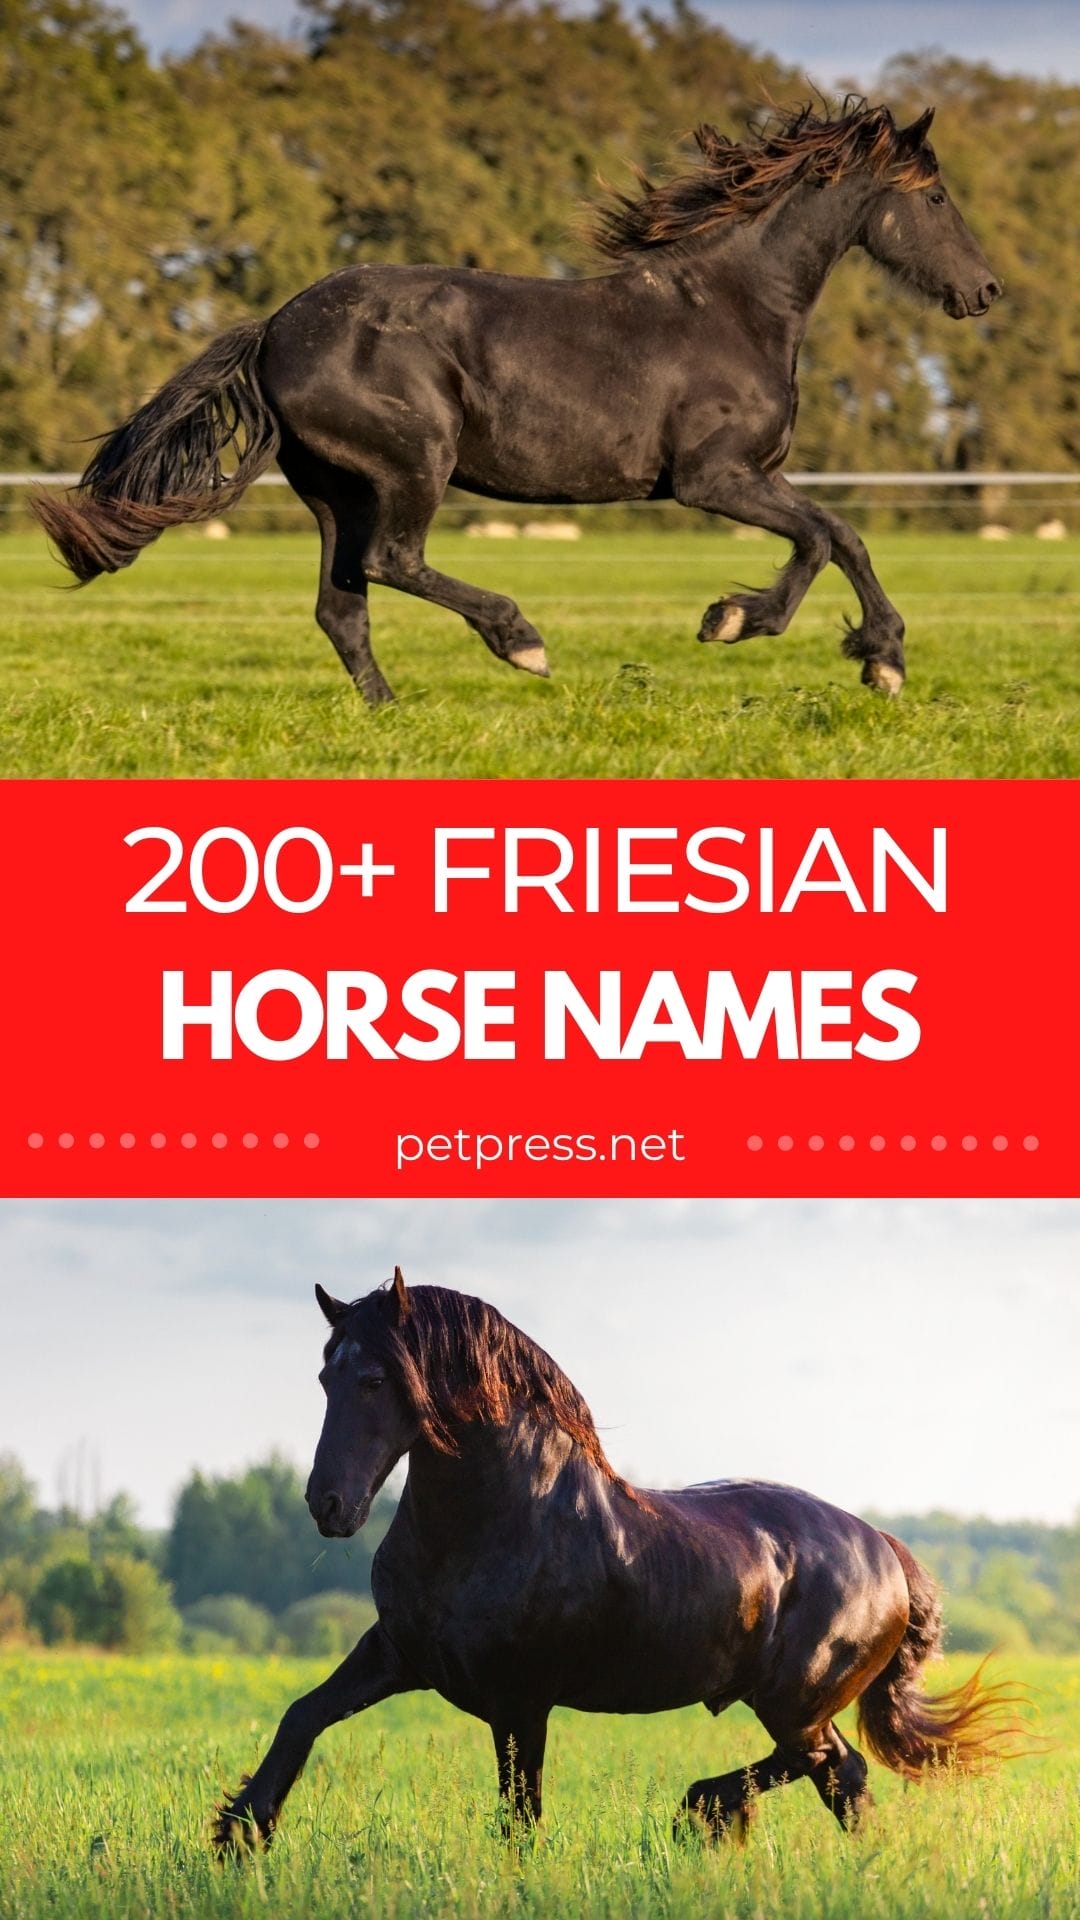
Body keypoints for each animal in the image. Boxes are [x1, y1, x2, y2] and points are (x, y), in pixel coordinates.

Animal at [35, 99, 1001, 707]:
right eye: (935, 197)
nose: (985, 290)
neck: (731, 308)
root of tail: (275, 327)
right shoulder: (712, 479)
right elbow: (821, 539)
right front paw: (741, 623)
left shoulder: (751, 477)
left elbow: (841, 536)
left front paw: (877, 660)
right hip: (412, 466)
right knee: (392, 563)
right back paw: (522, 642)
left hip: (334, 490)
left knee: (343, 605)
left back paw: (393, 713)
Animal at [213, 1271, 1019, 1852]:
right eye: (326, 1377)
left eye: (377, 1380)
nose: (328, 1504)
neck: (499, 1521)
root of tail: (886, 1550)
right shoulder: (398, 1654)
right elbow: (303, 1715)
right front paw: (240, 1834)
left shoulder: (519, 1700)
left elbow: (520, 1815)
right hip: (793, 1702)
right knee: (839, 1774)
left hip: (793, 1700)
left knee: (826, 1763)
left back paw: (701, 1812)